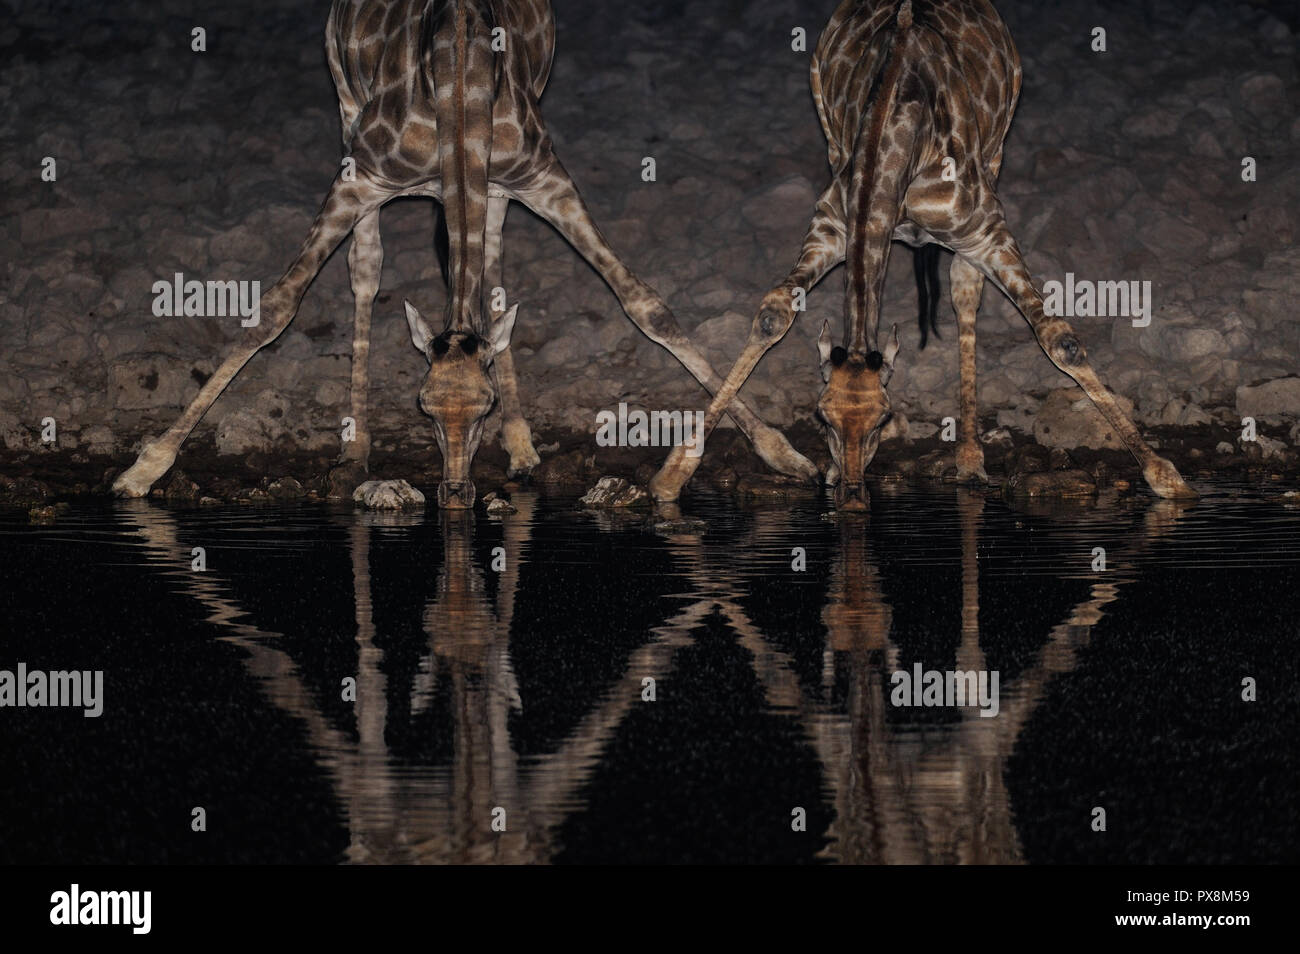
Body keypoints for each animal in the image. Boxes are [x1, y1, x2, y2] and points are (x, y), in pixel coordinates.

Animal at [112, 0, 816, 508]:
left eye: (486, 406)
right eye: (424, 406)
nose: (454, 491)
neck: (457, 81)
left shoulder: (540, 178)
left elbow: (646, 306)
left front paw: (783, 453)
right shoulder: (358, 178)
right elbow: (277, 308)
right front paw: (144, 469)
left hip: (496, 182)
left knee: (491, 272)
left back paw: (525, 449)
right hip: (345, 102)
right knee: (367, 270)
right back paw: (356, 446)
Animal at [649, 0, 1197, 510]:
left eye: (883, 418)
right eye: (821, 416)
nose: (851, 495)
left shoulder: (985, 231)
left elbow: (1059, 339)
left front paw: (1167, 477)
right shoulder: (831, 226)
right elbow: (771, 315)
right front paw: (673, 476)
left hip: (996, 155)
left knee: (965, 294)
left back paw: (971, 459)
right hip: (828, 128)